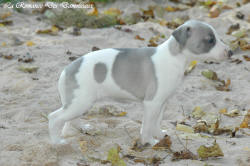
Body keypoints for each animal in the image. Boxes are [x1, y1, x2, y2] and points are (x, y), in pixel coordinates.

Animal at [48, 20, 232, 145]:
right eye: (210, 40)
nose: (230, 52)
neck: (174, 57)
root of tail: (66, 70)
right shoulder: (152, 103)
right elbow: (147, 125)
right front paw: (149, 141)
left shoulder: (162, 102)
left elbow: (156, 122)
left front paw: (160, 135)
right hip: (81, 102)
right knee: (55, 118)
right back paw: (57, 142)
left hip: (80, 103)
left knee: (70, 119)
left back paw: (83, 129)